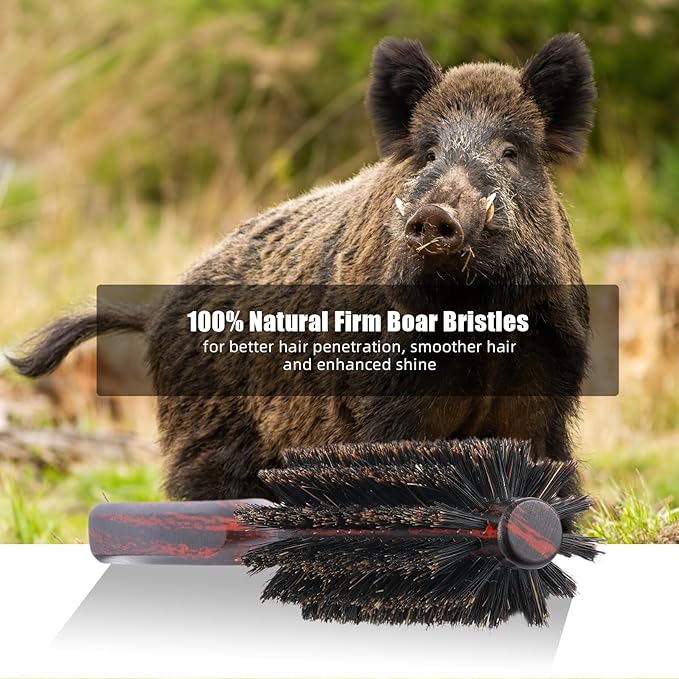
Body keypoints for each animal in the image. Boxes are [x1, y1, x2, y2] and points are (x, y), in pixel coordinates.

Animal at [11, 33, 596, 501]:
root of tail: (154, 311)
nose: (435, 215)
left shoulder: (547, 389)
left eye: (511, 151)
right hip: (207, 435)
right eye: (428, 154)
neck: (476, 320)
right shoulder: (385, 403)